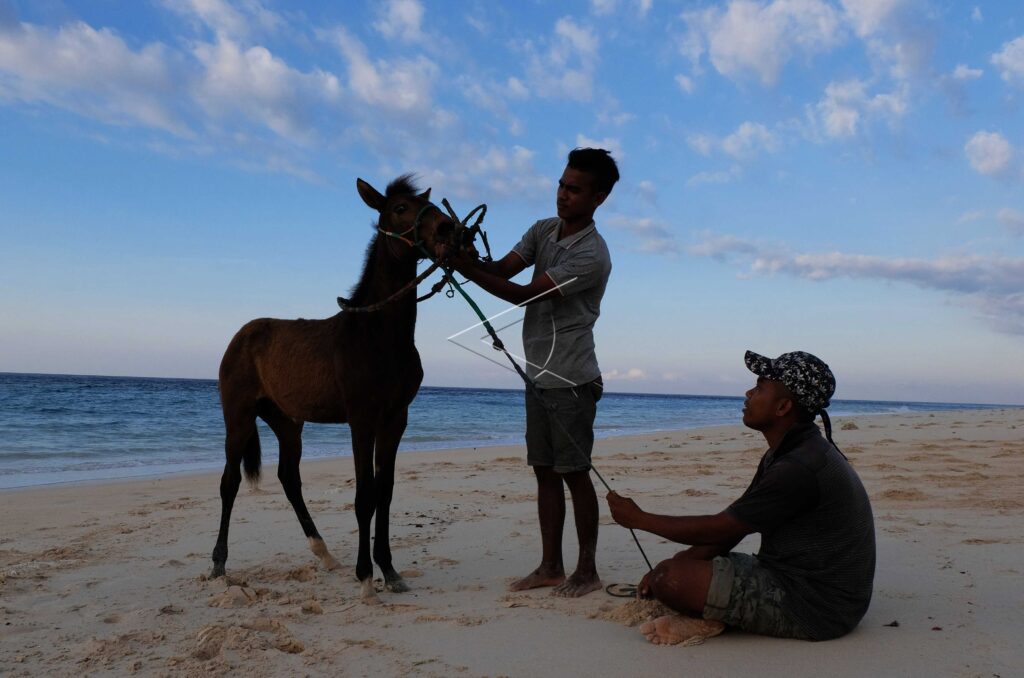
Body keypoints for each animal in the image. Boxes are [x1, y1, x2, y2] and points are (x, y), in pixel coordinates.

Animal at [212, 175, 459, 602]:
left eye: (423, 203)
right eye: (400, 208)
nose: (447, 228)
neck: (377, 336)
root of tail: (242, 334)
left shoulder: (395, 419)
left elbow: (385, 491)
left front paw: (389, 570)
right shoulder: (361, 419)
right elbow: (365, 496)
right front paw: (365, 578)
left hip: (287, 423)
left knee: (289, 478)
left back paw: (324, 554)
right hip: (239, 416)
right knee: (230, 483)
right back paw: (219, 565)